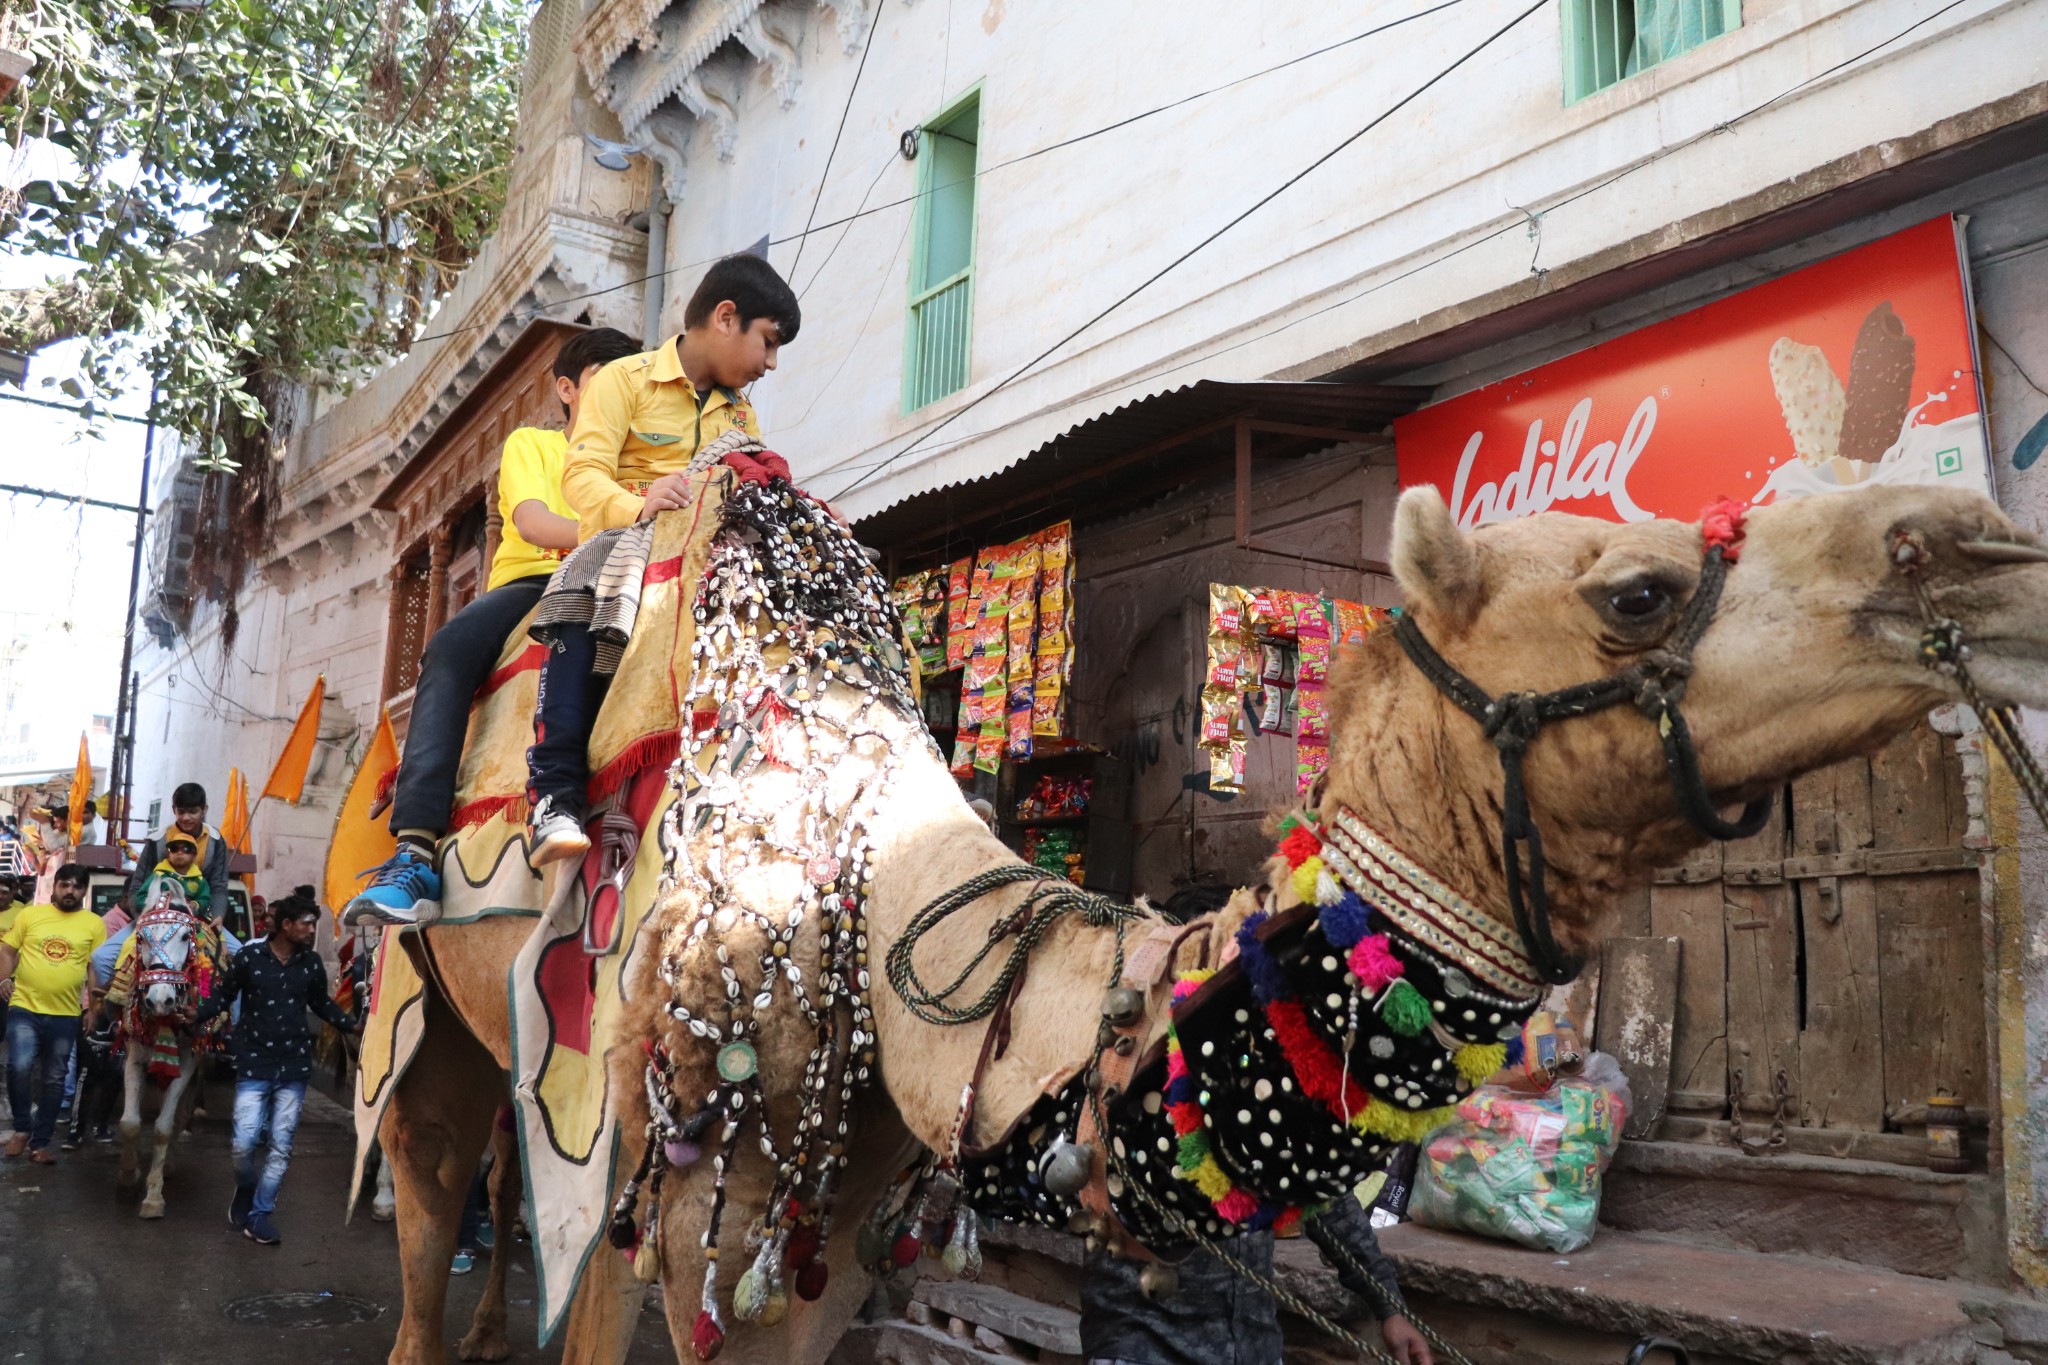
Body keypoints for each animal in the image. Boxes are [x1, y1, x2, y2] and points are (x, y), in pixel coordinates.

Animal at [364, 478, 2048, 1365]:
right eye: (1637, 591)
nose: (1981, 536)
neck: (866, 859)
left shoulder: (850, 1170)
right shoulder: (681, 1146)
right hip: (421, 997)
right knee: (437, 1179)